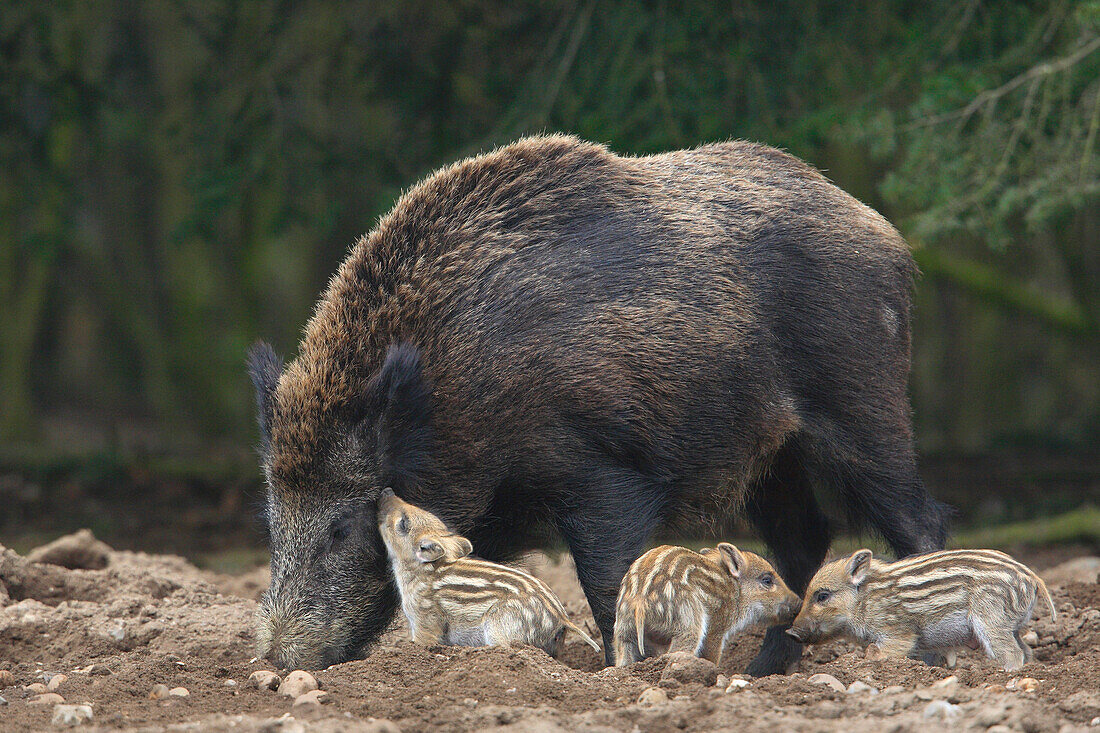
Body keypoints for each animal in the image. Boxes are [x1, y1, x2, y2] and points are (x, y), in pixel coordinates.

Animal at [378, 488, 602, 651]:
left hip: (499, 628)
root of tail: (562, 618)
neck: (418, 572)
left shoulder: (424, 620)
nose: (387, 490)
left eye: (403, 523)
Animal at [611, 539, 800, 664]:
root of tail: (639, 601)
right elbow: (712, 657)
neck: (735, 591)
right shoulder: (716, 629)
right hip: (688, 624)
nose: (799, 603)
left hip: (624, 632)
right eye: (767, 580)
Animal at [787, 545, 1051, 669]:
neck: (863, 601)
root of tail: (1031, 578)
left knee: (1012, 653)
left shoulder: (897, 633)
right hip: (1011, 626)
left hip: (991, 620)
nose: (791, 632)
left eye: (822, 596)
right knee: (1026, 651)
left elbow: (877, 651)